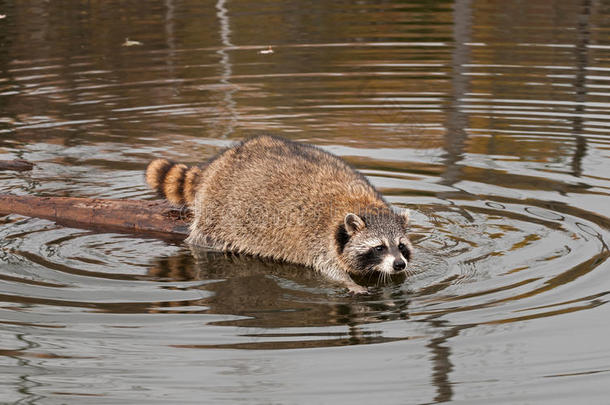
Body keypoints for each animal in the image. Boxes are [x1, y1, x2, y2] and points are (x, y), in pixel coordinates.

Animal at [145, 136, 410, 294]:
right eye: (378, 247)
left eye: (401, 246)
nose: (400, 264)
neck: (365, 206)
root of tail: (219, 163)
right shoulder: (320, 240)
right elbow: (328, 269)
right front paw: (349, 283)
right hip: (216, 211)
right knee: (206, 236)